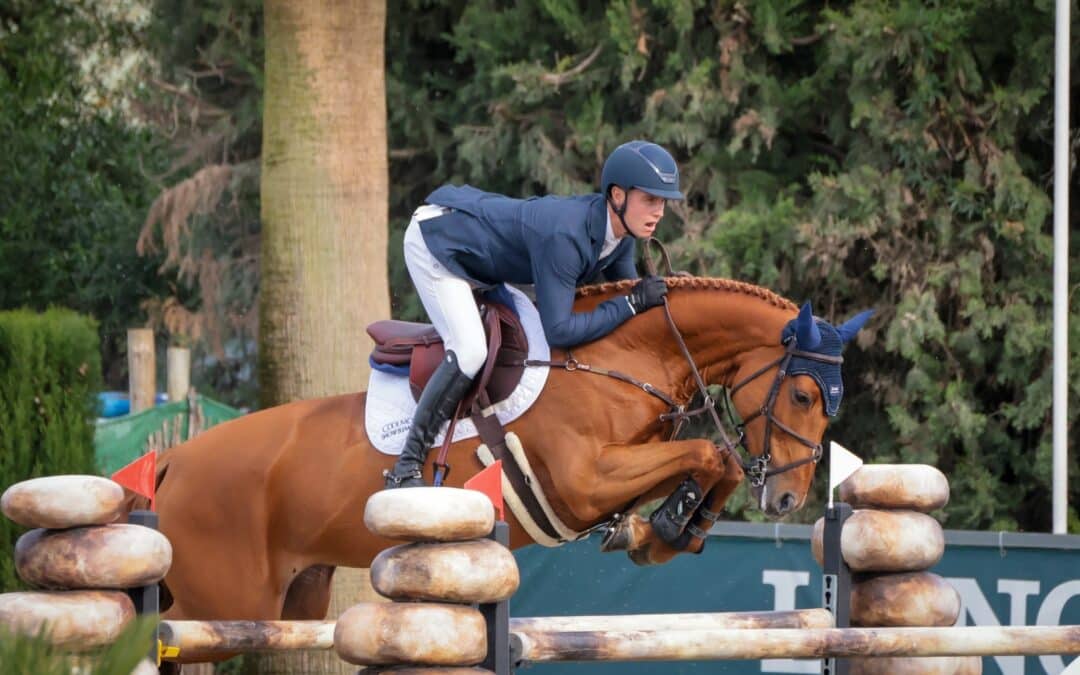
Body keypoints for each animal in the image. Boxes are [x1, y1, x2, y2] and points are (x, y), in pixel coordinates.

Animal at [145, 276, 868, 660]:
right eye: (804, 397)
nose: (787, 500)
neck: (622, 355)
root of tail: (175, 460)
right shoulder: (580, 483)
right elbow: (708, 451)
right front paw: (662, 525)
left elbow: (710, 461)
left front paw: (664, 527)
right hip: (224, 610)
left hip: (295, 599)